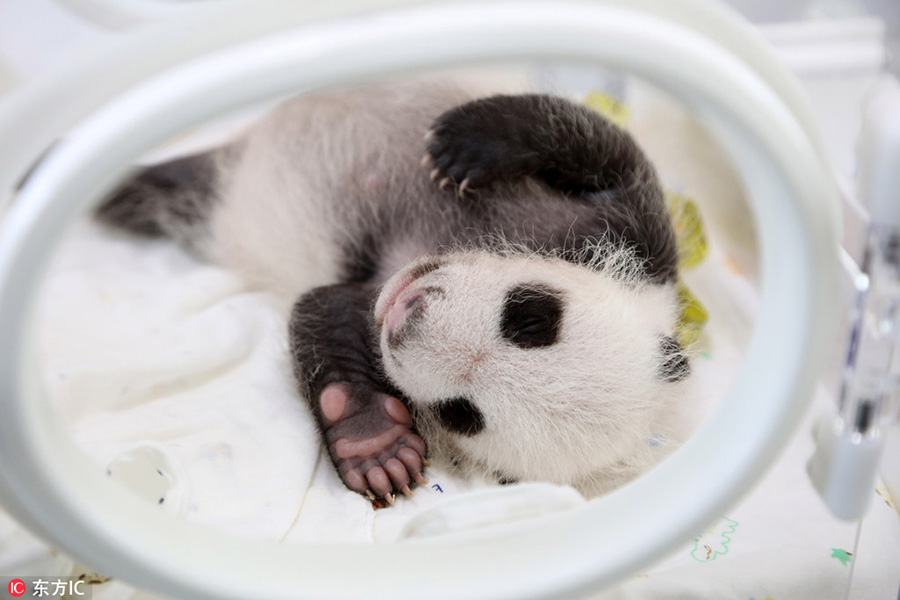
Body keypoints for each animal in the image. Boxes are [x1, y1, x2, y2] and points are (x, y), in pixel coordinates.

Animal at [96, 78, 688, 502]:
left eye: (461, 414)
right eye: (530, 319)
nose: (410, 319)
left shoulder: (365, 298)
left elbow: (324, 312)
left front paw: (374, 445)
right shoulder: (633, 238)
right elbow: (596, 144)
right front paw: (466, 144)